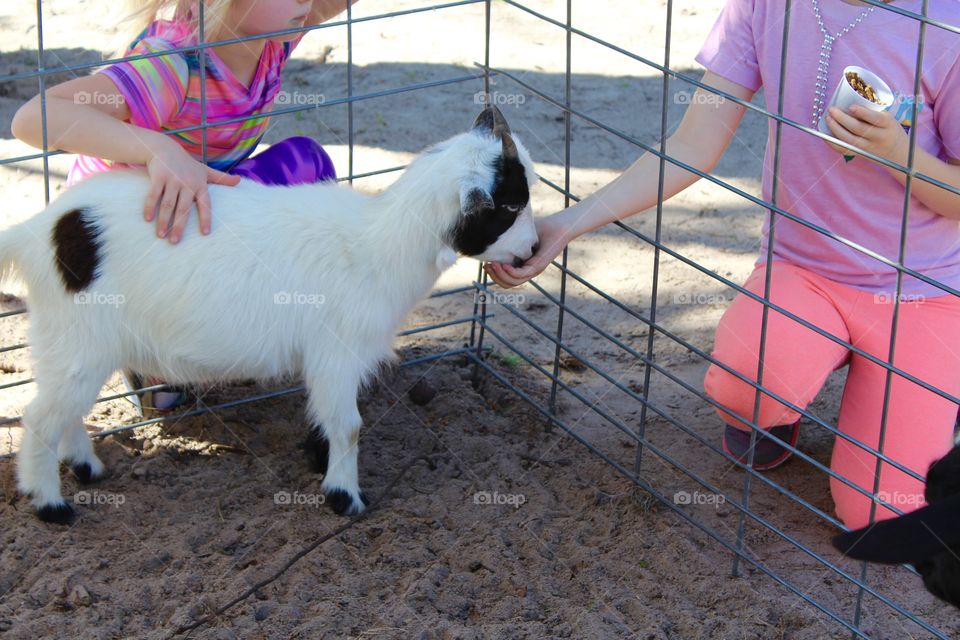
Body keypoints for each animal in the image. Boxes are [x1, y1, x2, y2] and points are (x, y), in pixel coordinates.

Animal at [1, 106, 540, 524]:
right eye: (511, 205)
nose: (534, 248)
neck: (381, 244)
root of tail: (39, 232)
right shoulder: (337, 352)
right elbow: (349, 424)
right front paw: (345, 497)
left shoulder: (326, 359)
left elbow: (326, 417)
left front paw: (318, 460)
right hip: (79, 337)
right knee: (41, 416)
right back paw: (51, 505)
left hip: (78, 342)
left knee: (66, 408)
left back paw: (86, 468)